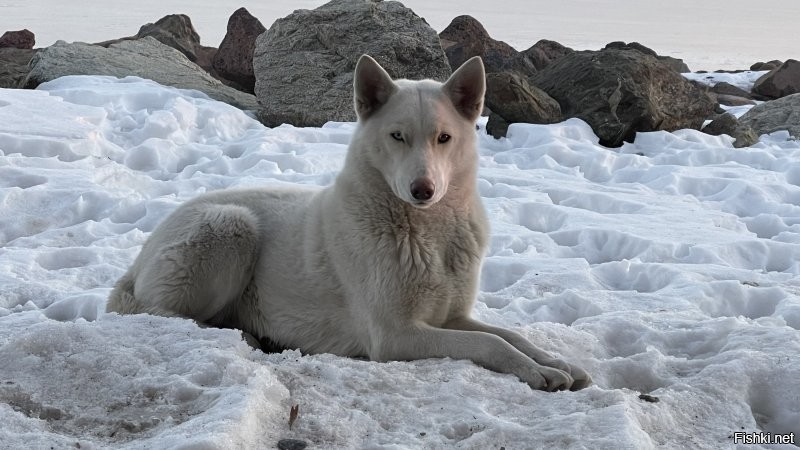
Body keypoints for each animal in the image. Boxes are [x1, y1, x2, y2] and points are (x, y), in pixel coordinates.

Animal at [108, 53, 588, 390]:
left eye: (444, 138)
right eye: (397, 136)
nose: (423, 190)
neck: (427, 233)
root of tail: (139, 258)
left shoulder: (451, 317)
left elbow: (511, 335)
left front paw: (556, 362)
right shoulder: (395, 336)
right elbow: (491, 343)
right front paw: (537, 372)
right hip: (231, 226)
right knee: (163, 314)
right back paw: (244, 335)